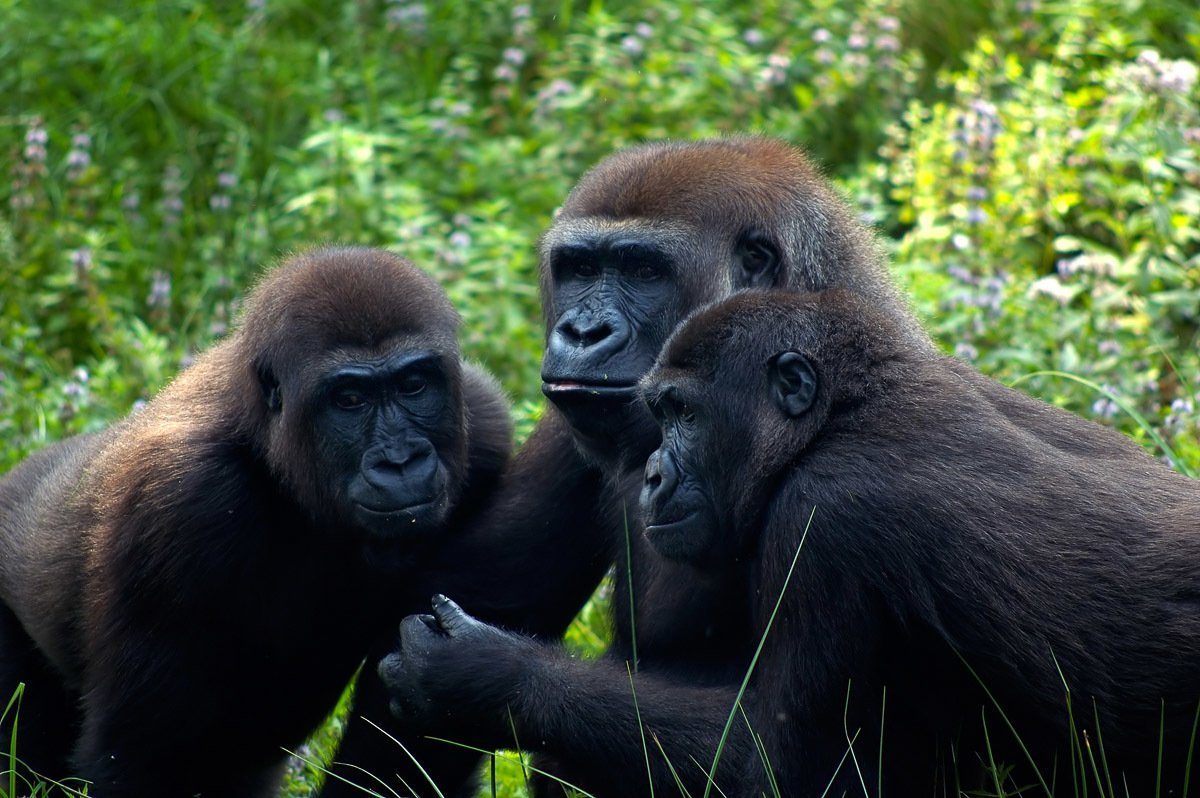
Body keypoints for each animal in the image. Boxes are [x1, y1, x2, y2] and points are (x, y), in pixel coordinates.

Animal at [0, 247, 511, 796]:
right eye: (349, 400)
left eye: (414, 385)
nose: (399, 462)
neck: (270, 449)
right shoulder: (174, 505)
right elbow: (140, 760)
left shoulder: (484, 425)